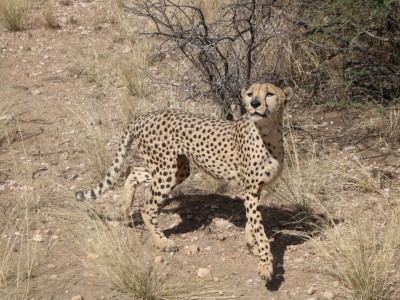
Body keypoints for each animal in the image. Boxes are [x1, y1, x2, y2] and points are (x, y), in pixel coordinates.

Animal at [76, 82, 294, 282]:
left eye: (269, 94)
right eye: (250, 94)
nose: (254, 104)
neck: (269, 132)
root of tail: (143, 116)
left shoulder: (255, 189)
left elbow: (253, 221)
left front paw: (251, 244)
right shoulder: (250, 189)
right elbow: (258, 227)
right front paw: (265, 265)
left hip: (176, 170)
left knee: (133, 171)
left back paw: (124, 207)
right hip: (166, 171)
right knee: (147, 207)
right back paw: (162, 242)